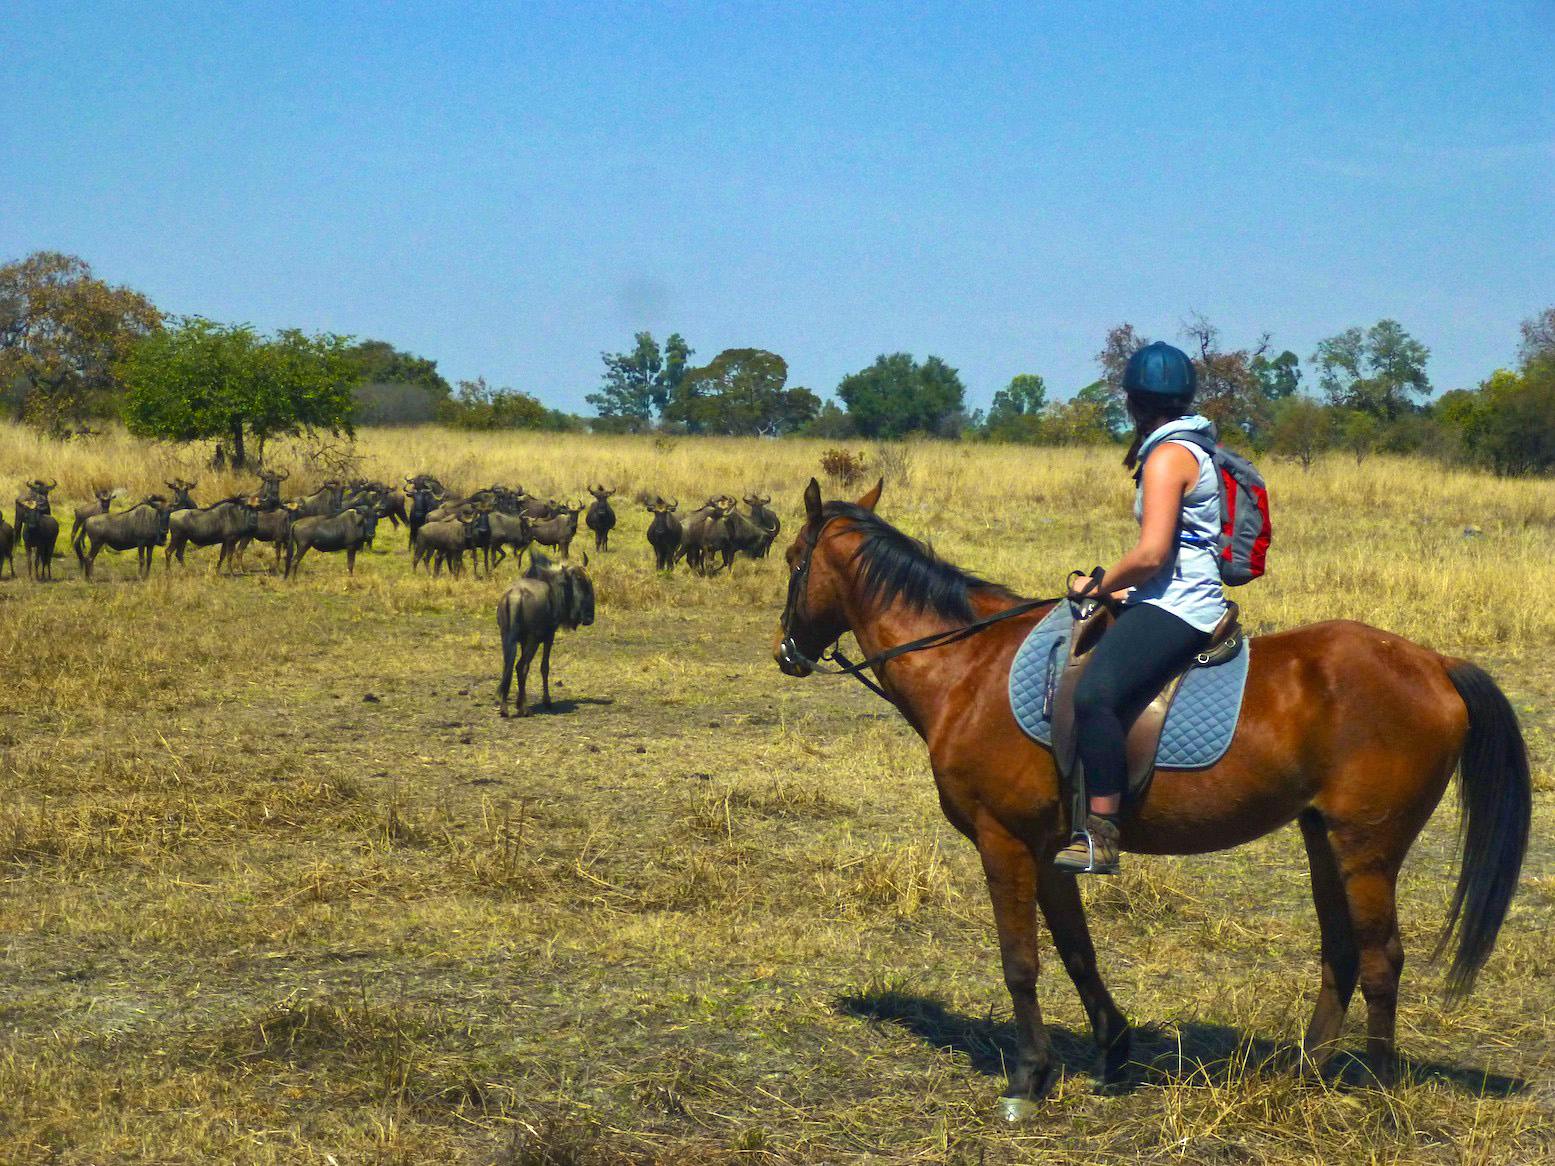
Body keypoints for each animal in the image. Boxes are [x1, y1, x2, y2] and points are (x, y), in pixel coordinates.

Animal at [773, 478, 1530, 1116]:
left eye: (789, 557)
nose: (786, 653)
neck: (970, 667)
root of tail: (1435, 663)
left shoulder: (1004, 840)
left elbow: (1020, 963)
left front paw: (1027, 1077)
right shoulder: (1051, 849)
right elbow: (1077, 952)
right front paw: (1111, 1051)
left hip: (1367, 847)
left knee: (1380, 960)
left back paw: (1375, 1091)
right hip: (1323, 838)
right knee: (1340, 954)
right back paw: (1303, 1074)